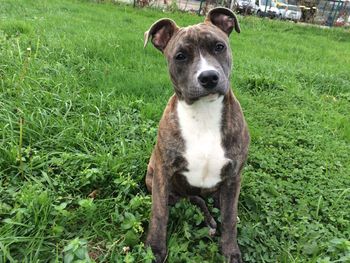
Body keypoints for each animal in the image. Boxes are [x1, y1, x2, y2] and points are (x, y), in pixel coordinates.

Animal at [142, 7, 249, 262]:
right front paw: (155, 248)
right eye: (180, 56)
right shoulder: (163, 172)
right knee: (191, 198)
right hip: (155, 176)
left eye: (219, 46)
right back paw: (208, 220)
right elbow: (159, 213)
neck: (204, 113)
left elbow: (229, 218)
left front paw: (230, 250)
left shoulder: (234, 175)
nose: (208, 77)